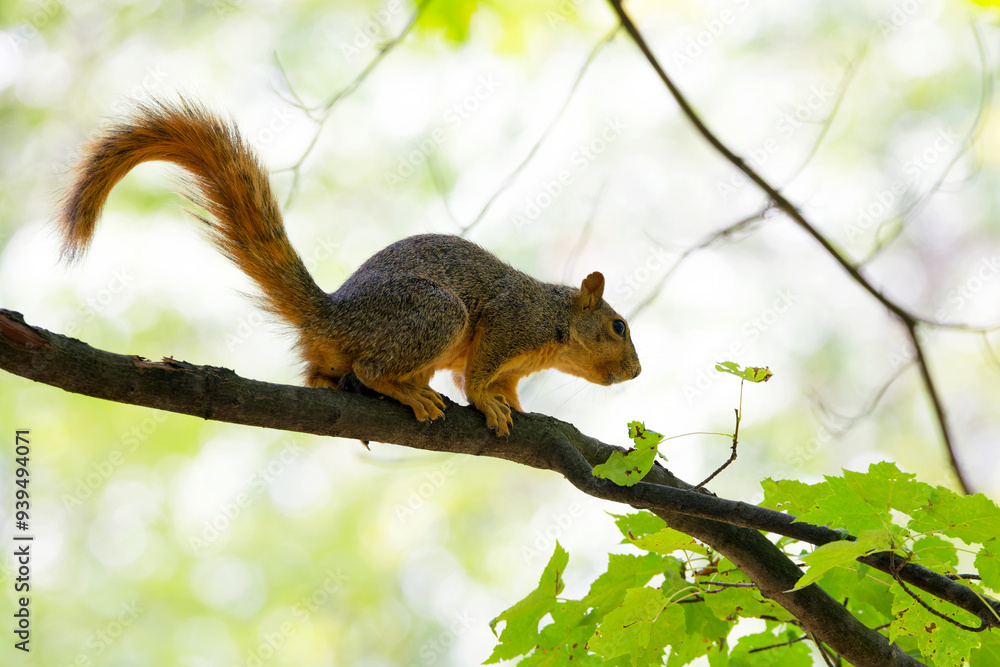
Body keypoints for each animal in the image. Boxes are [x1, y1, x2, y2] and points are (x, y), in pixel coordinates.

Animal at [58, 96, 640, 436]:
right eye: (617, 325)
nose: (636, 371)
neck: (554, 326)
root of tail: (333, 317)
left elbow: (495, 382)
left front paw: (514, 405)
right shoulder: (509, 322)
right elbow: (475, 377)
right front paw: (488, 403)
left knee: (325, 374)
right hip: (435, 313)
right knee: (371, 369)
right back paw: (407, 391)